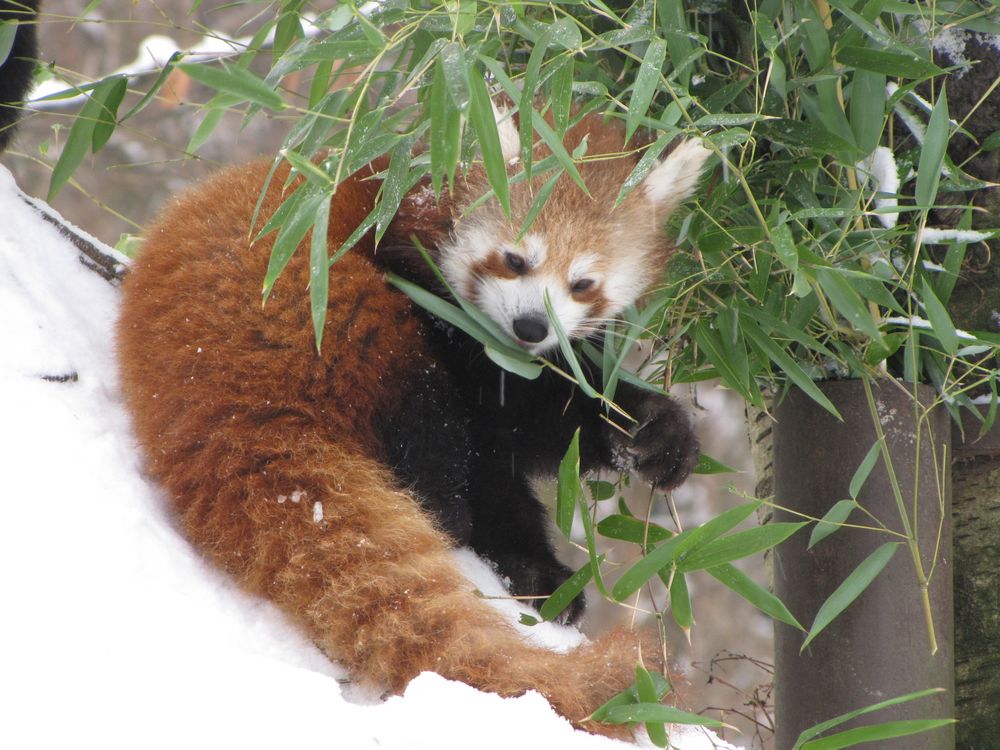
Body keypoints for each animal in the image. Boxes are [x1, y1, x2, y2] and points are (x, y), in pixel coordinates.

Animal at [117, 113, 712, 740]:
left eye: (583, 284)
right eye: (515, 259)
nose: (530, 325)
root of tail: (220, 391)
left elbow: (542, 423)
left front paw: (655, 435)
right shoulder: (426, 292)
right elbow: (510, 421)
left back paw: (542, 575)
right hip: (321, 302)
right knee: (430, 420)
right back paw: (461, 517)